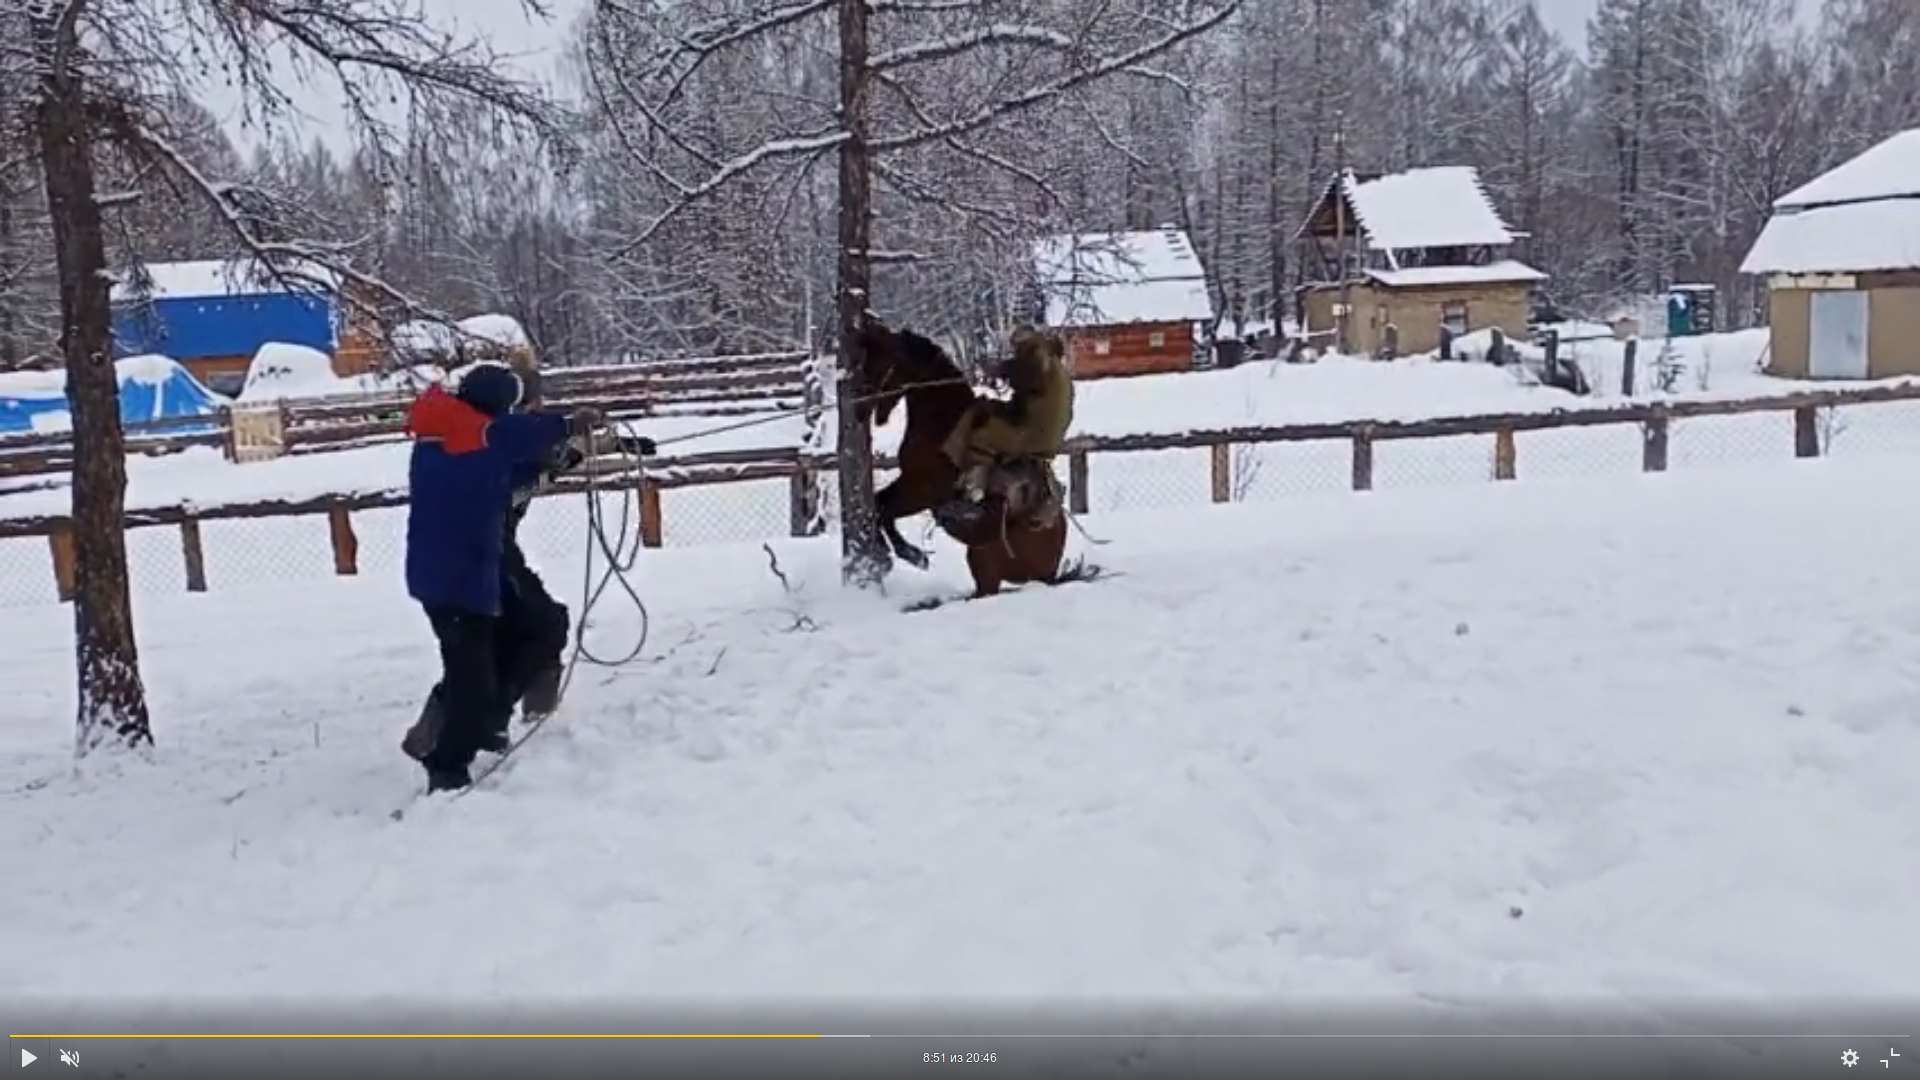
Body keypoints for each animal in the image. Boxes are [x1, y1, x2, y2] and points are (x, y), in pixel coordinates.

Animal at [852, 319, 1082, 595]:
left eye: (876, 366)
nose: (858, 409)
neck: (942, 423)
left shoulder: (920, 490)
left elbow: (883, 510)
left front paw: (904, 555)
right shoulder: (910, 482)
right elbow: (879, 503)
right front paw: (892, 554)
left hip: (990, 568)